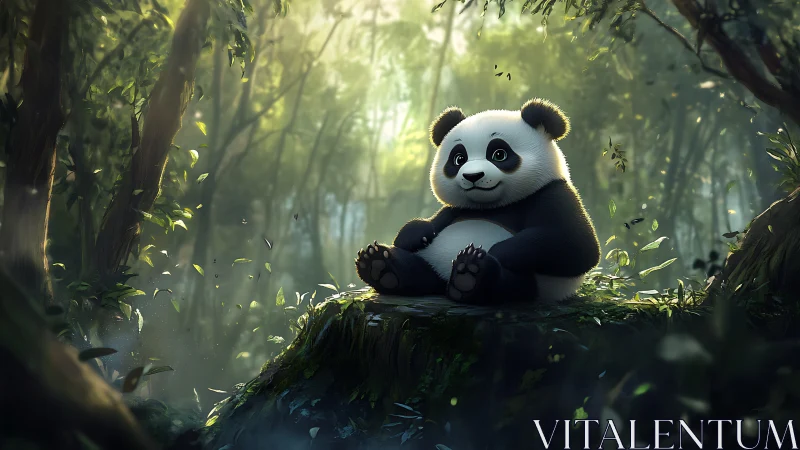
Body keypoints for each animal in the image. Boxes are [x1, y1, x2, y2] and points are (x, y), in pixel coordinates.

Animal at [355, 98, 601, 303]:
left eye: (499, 154)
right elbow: (434, 221)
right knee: (416, 270)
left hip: (536, 285)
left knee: (509, 286)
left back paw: (470, 273)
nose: (472, 176)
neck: (491, 205)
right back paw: (379, 264)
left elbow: (576, 244)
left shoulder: (552, 193)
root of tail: (443, 285)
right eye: (459, 158)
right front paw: (412, 234)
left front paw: (496, 250)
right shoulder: (457, 208)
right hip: (430, 263)